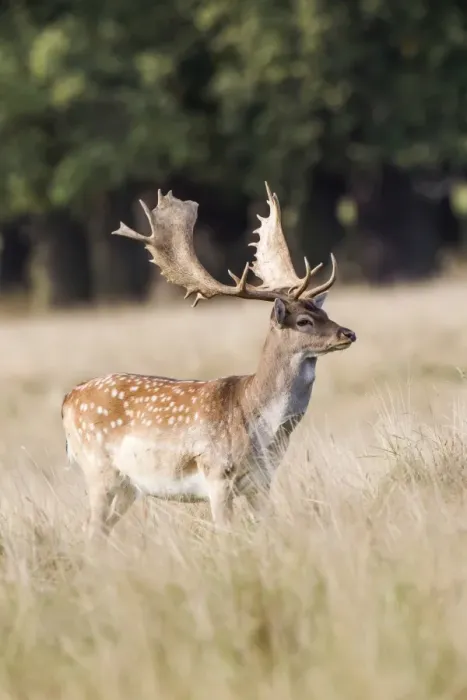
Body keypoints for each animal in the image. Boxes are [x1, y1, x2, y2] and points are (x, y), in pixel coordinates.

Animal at [62, 183, 356, 538]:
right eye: (303, 321)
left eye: (324, 312)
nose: (348, 333)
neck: (261, 424)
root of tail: (68, 399)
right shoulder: (217, 475)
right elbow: (226, 534)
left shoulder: (262, 481)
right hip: (98, 468)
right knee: (90, 530)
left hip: (128, 486)